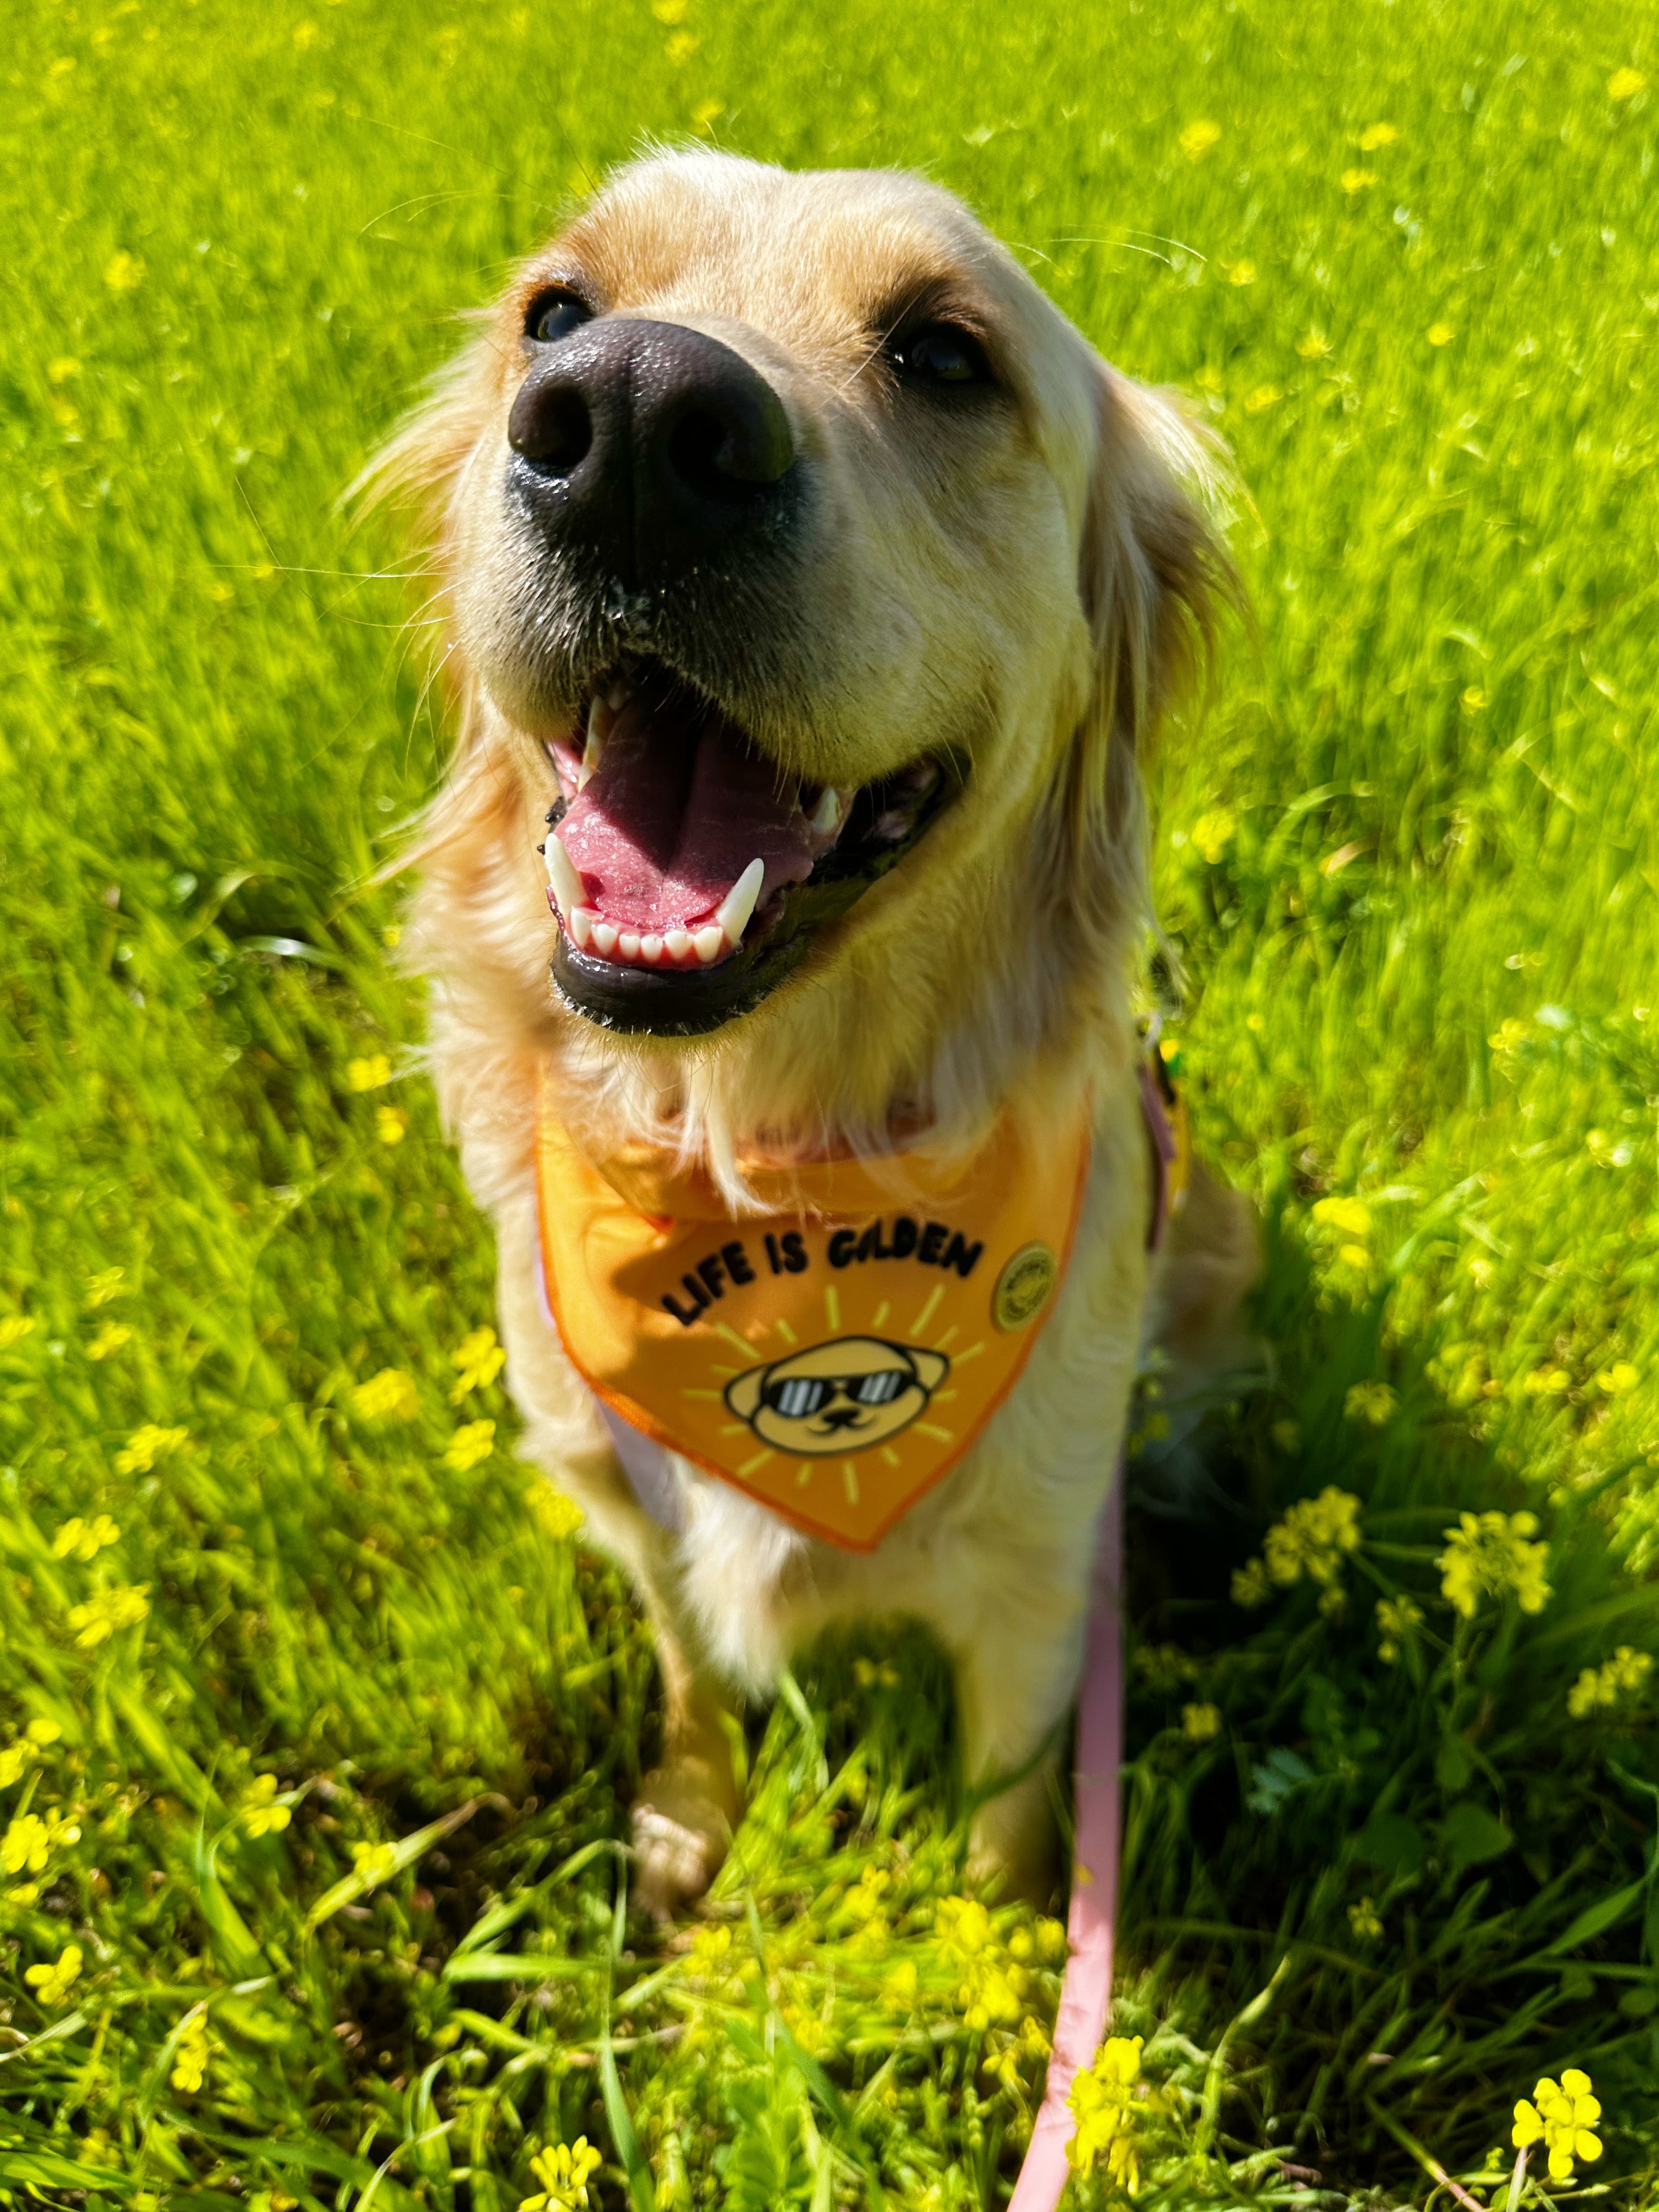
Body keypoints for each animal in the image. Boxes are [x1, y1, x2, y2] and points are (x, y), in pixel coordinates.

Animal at [374, 151, 1256, 1920]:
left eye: (945, 354)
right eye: (554, 311)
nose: (630, 419)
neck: (756, 1163)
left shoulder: (1040, 1580)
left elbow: (1006, 1815)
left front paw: (998, 1948)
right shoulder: (622, 1493)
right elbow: (693, 1675)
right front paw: (685, 1826)